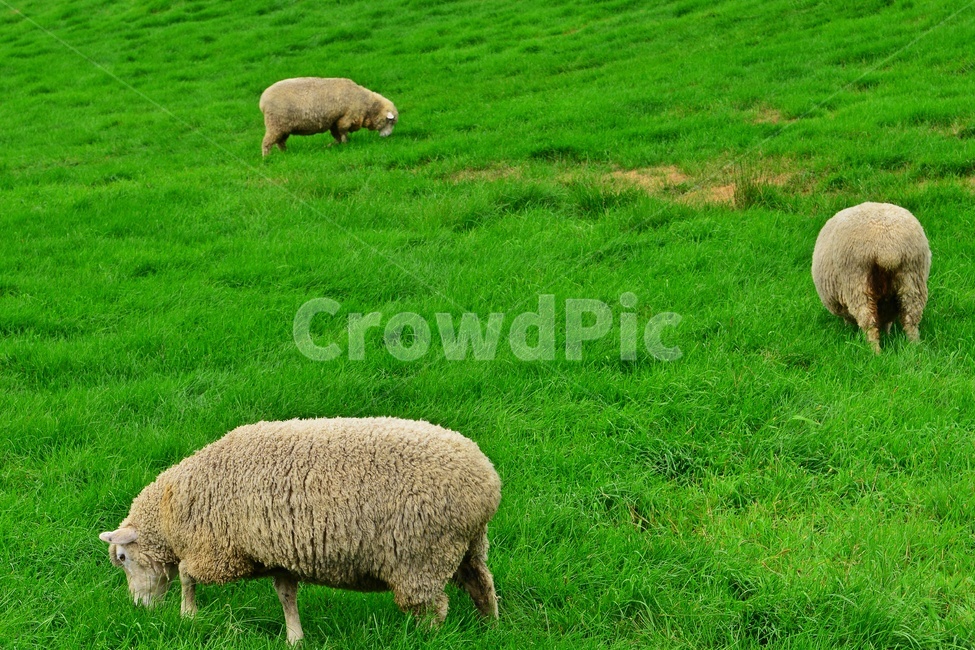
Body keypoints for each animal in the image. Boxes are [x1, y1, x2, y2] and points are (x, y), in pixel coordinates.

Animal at [99, 417, 501, 645]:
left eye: (123, 557)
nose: (138, 609)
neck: (173, 509)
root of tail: (488, 482)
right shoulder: (278, 555)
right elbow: (286, 596)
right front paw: (295, 637)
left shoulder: (221, 552)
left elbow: (184, 573)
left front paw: (188, 615)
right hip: (466, 546)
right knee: (482, 585)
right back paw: (491, 629)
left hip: (422, 556)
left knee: (434, 610)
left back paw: (423, 639)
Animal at [259, 77, 398, 156]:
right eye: (390, 122)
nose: (388, 136)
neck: (366, 105)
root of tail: (262, 100)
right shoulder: (346, 117)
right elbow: (343, 132)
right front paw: (345, 144)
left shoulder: (334, 121)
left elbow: (337, 135)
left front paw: (334, 145)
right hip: (275, 123)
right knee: (267, 142)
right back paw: (266, 157)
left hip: (283, 127)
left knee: (280, 142)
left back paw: (285, 153)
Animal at [811, 201, 931, 353]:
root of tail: (887, 249)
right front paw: (887, 334)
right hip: (912, 278)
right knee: (911, 318)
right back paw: (915, 347)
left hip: (857, 283)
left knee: (868, 322)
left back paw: (875, 352)